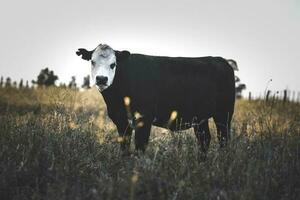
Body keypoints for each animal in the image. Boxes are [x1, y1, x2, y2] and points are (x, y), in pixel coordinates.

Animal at [76, 43, 236, 153]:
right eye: (92, 62)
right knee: (204, 139)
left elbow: (140, 147)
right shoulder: (121, 121)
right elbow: (124, 149)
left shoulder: (144, 119)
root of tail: (221, 60)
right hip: (200, 117)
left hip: (224, 114)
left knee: (223, 139)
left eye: (113, 64)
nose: (101, 79)